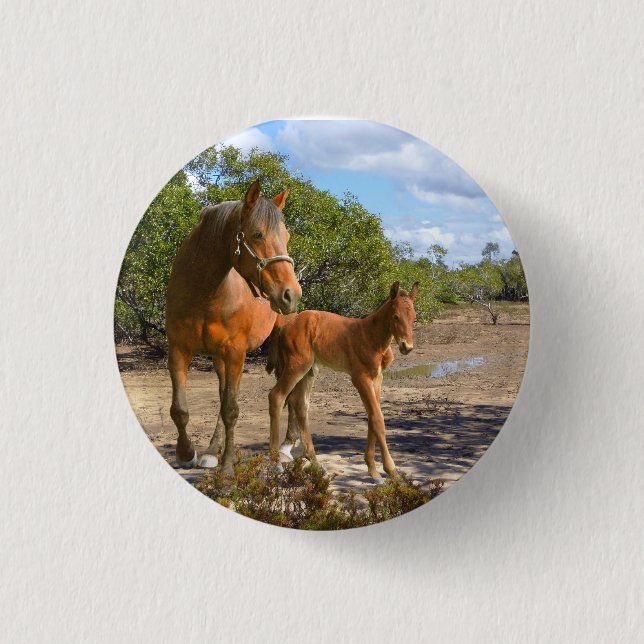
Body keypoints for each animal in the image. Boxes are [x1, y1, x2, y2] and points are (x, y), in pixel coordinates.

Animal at [165, 180, 302, 475]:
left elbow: (231, 409)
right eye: (258, 234)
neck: (205, 293)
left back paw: (286, 447)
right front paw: (187, 453)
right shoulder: (179, 351)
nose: (291, 295)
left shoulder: (237, 353)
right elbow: (180, 409)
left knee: (291, 391)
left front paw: (227, 466)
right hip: (219, 358)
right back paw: (210, 452)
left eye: (286, 236)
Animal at [266, 281, 419, 482]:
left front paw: (372, 468)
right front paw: (390, 470)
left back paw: (315, 462)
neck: (371, 336)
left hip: (308, 370)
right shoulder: (360, 378)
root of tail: (285, 325)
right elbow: (377, 419)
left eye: (414, 317)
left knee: (299, 403)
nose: (406, 347)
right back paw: (276, 464)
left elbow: (373, 416)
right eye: (395, 316)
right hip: (296, 366)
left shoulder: (377, 378)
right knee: (276, 396)